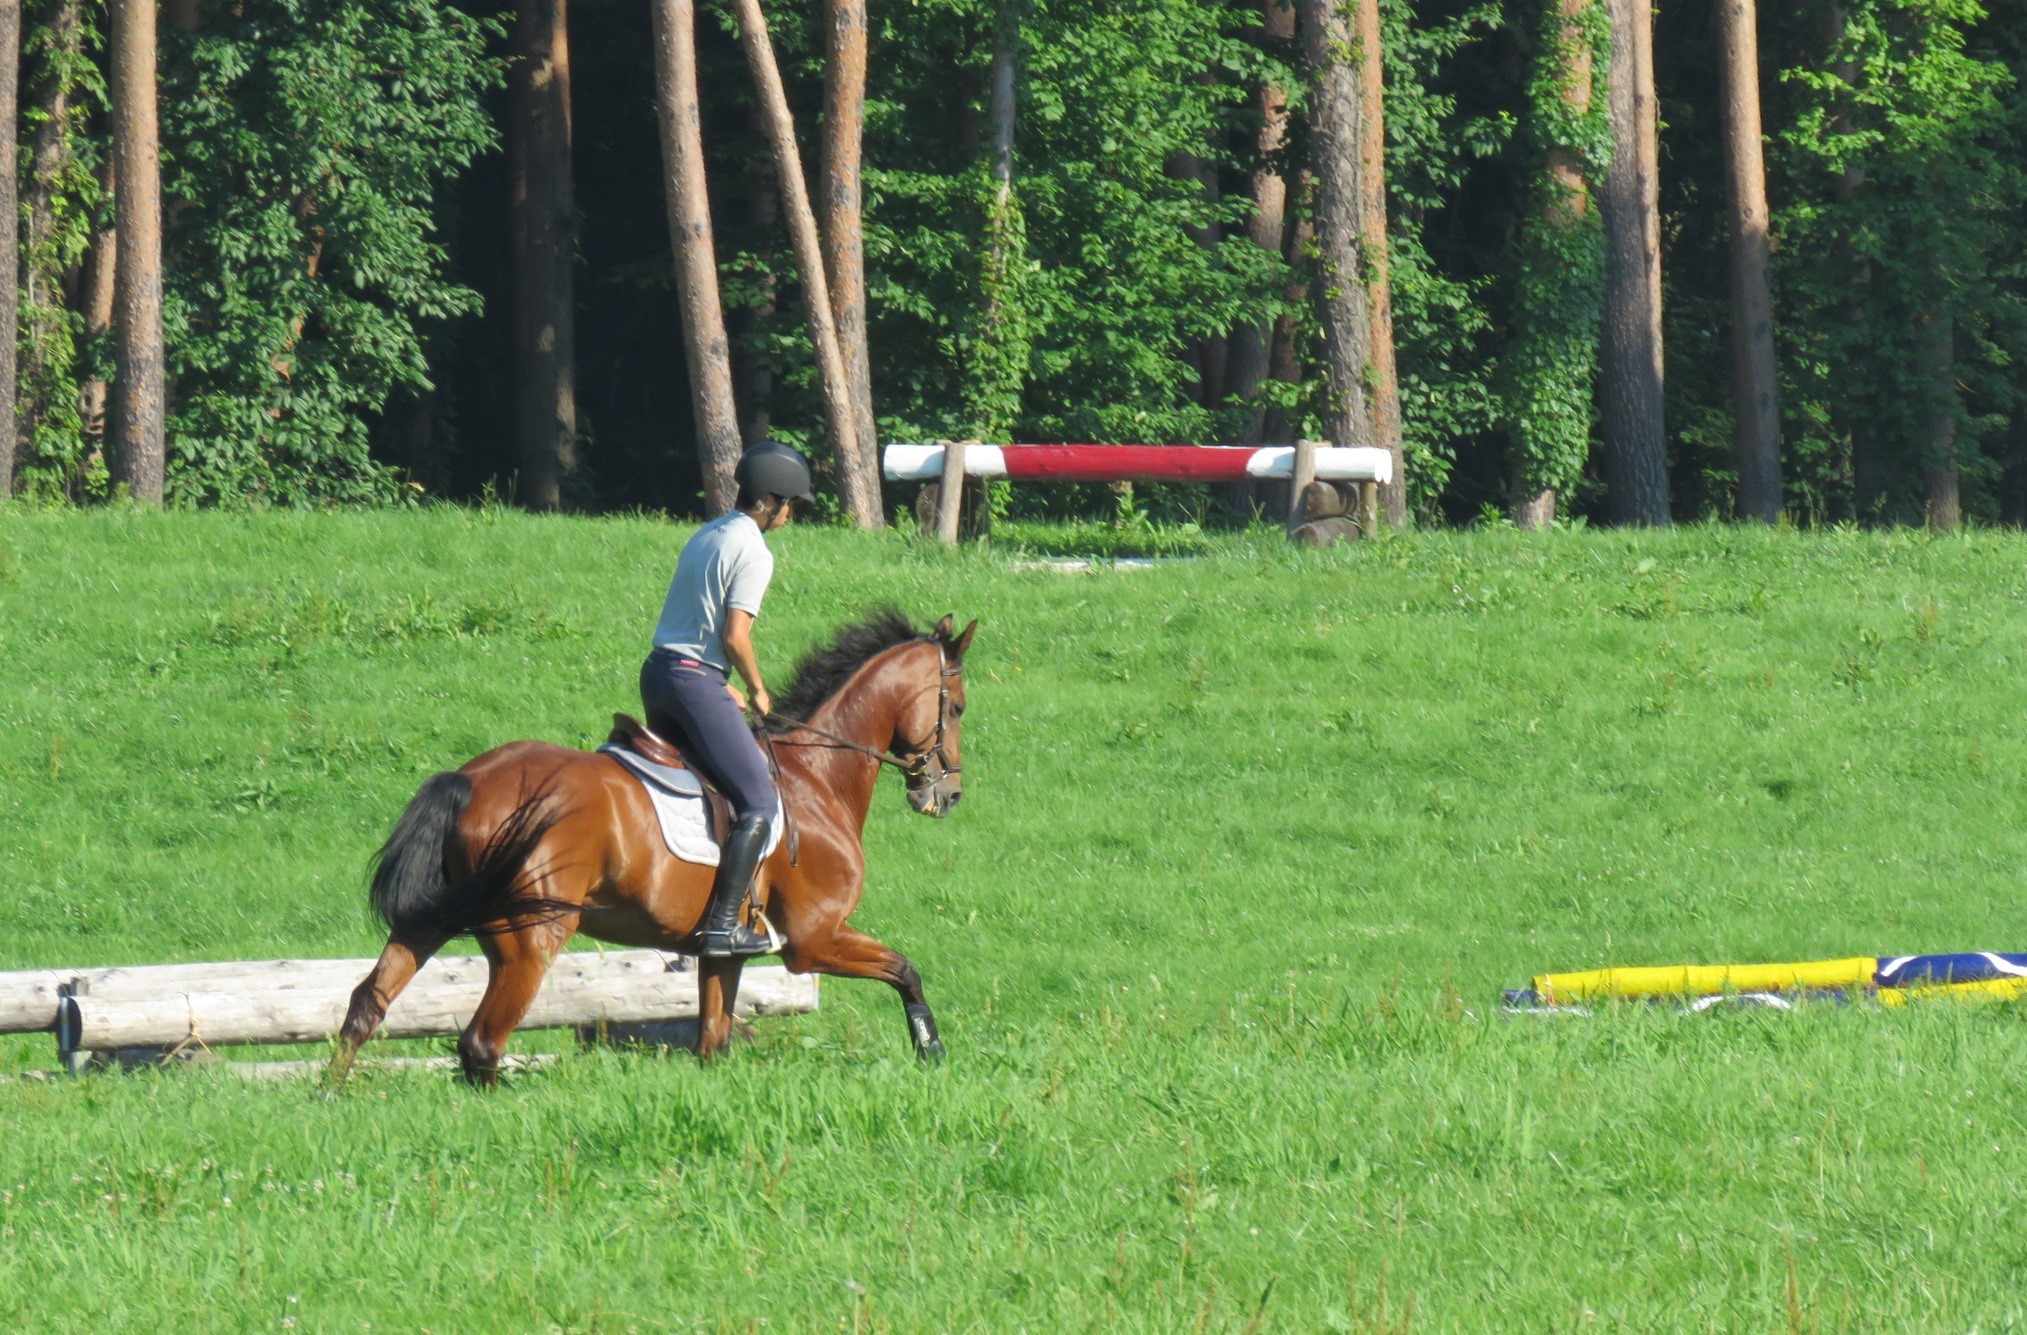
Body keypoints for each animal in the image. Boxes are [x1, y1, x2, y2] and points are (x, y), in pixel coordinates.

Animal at [324, 611, 972, 1093]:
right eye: (958, 707)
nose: (949, 794)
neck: (818, 775)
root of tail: (470, 779)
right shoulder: (814, 939)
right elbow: (905, 970)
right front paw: (932, 1050)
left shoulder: (723, 955)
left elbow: (713, 1039)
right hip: (532, 937)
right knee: (481, 1043)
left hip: (430, 920)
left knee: (367, 1003)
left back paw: (331, 1093)